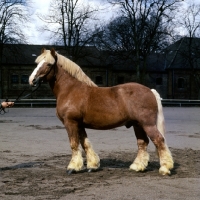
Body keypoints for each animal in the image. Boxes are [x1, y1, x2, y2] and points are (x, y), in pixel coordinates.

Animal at [28, 48, 173, 175]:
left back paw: (165, 168)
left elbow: (74, 144)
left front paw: (73, 168)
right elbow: (85, 143)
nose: (32, 80)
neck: (70, 90)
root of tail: (150, 91)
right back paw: (137, 167)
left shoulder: (71, 123)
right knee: (142, 143)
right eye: (37, 63)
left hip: (147, 124)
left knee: (159, 140)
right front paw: (92, 166)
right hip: (138, 125)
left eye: (48, 64)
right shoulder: (79, 124)